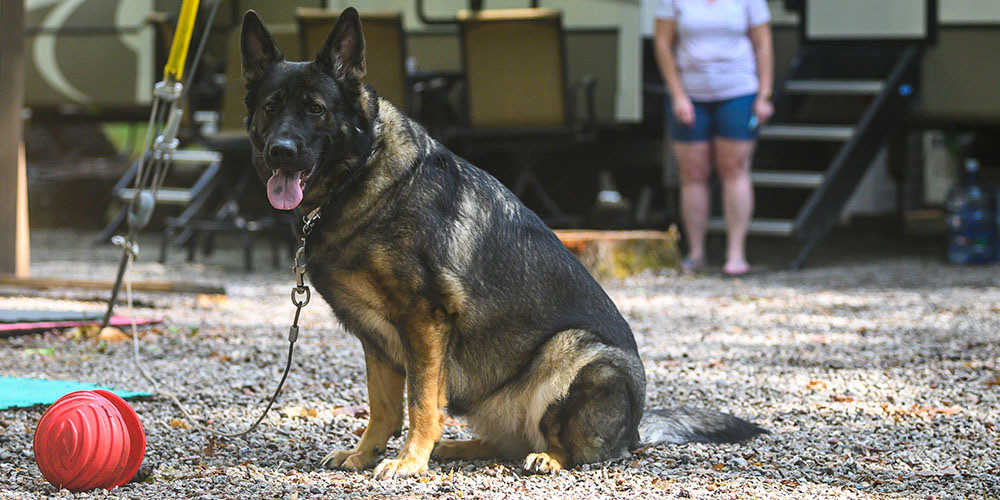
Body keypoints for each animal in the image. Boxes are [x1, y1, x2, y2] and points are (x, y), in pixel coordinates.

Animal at [240, 6, 764, 476]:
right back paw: (455, 450)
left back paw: (545, 458)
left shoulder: (421, 321)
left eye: (315, 109)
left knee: (572, 448)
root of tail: (635, 431)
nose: (280, 151)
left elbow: (420, 401)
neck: (361, 172)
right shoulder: (377, 338)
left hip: (579, 353)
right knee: (504, 443)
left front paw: (409, 461)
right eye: (271, 107)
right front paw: (365, 454)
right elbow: (385, 407)